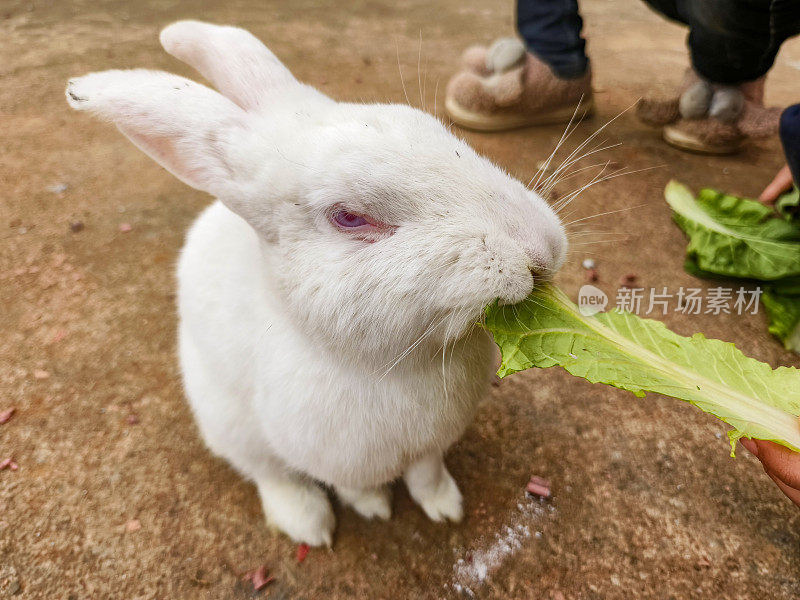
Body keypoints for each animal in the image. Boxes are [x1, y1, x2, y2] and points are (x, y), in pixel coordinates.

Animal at [67, 21, 568, 548]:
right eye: (349, 217)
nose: (541, 251)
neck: (395, 363)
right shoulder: (336, 455)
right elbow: (354, 486)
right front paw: (374, 509)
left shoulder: (430, 446)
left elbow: (428, 474)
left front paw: (446, 509)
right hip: (227, 420)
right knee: (267, 472)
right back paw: (307, 523)